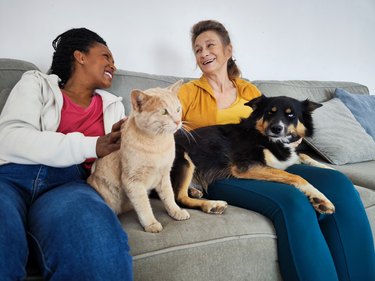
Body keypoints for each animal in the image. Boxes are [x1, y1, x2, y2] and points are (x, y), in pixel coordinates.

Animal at [172, 94, 336, 214]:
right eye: (270, 112)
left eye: (291, 115)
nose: (276, 128)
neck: (266, 138)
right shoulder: (244, 166)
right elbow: (296, 176)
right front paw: (320, 198)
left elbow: (303, 156)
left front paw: (327, 168)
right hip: (184, 158)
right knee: (179, 198)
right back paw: (212, 205)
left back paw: (195, 191)